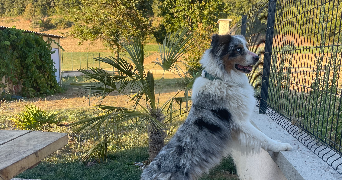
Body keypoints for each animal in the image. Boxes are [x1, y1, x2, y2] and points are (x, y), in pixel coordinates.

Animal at [140, 34, 292, 180]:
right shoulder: (240, 123)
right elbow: (262, 137)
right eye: (238, 49)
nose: (257, 57)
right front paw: (281, 146)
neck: (220, 78)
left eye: (246, 47)